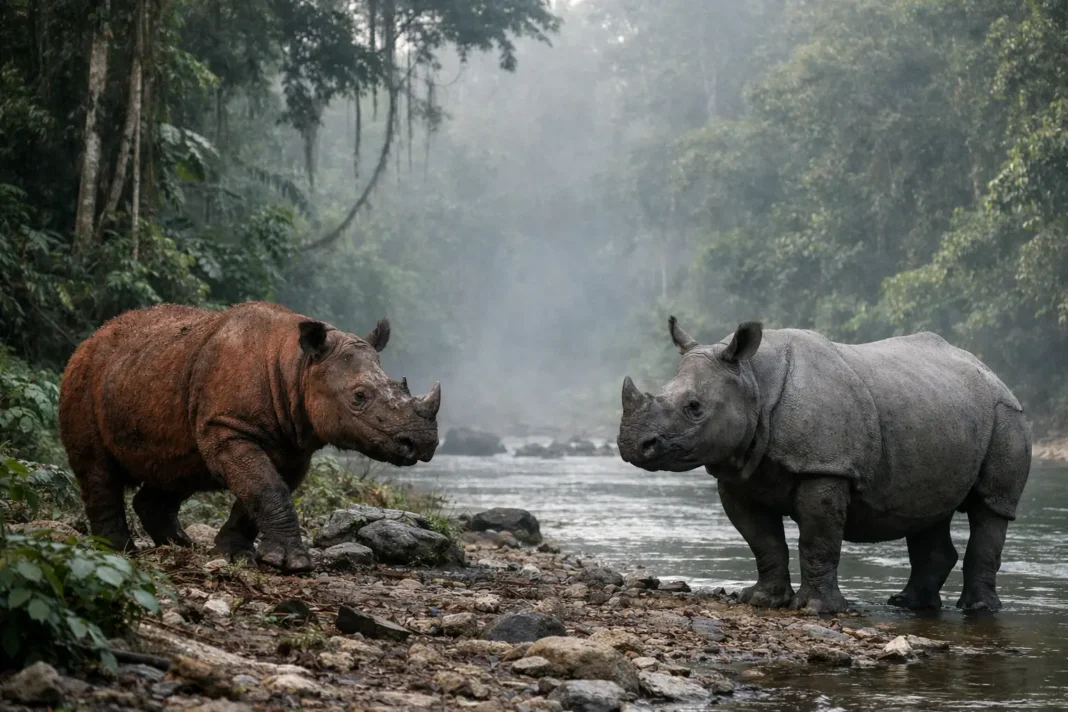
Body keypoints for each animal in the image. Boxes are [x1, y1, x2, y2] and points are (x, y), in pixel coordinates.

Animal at [617, 317, 1031, 613]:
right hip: (938, 408)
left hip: (1006, 414)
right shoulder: (738, 476)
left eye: (694, 408)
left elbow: (817, 538)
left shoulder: (826, 466)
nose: (632, 445)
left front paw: (816, 609)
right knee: (928, 510)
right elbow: (763, 541)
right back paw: (909, 605)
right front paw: (762, 600)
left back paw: (978, 610)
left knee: (990, 507)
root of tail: (992, 373)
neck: (752, 379)